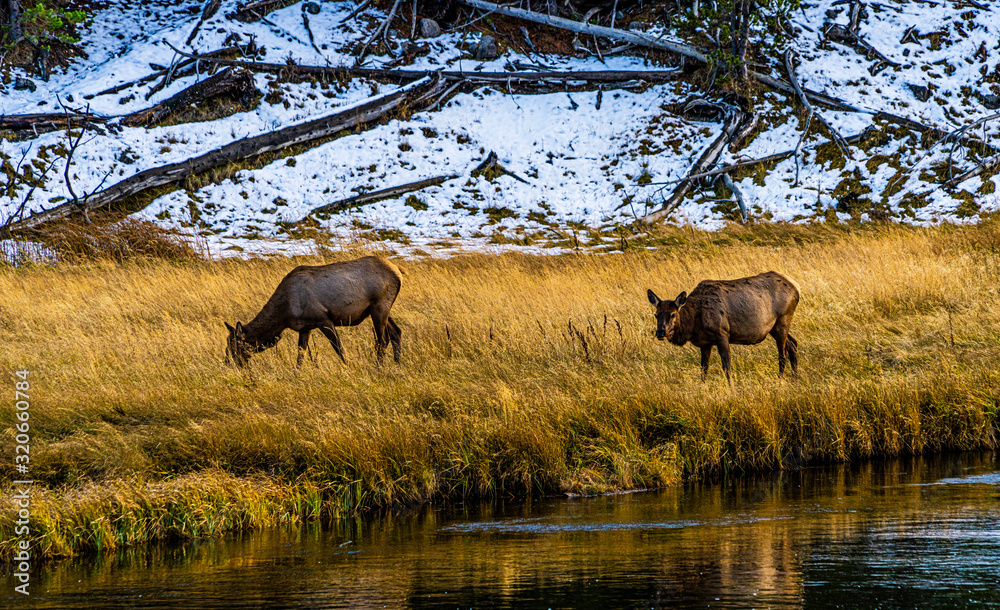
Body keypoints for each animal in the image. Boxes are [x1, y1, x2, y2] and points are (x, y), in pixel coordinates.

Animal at [225, 256, 403, 368]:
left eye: (235, 347)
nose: (228, 363)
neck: (284, 314)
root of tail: (398, 272)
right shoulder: (305, 327)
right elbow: (300, 356)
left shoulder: (323, 319)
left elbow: (339, 349)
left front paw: (349, 368)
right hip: (381, 310)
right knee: (396, 332)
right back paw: (397, 364)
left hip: (379, 307)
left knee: (383, 339)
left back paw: (378, 367)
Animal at [647, 271, 800, 383]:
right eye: (656, 314)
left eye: (673, 314)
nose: (660, 333)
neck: (693, 324)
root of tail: (796, 287)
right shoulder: (705, 342)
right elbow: (704, 368)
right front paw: (703, 386)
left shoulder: (722, 334)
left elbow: (726, 367)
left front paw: (731, 388)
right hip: (774, 327)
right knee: (793, 344)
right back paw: (795, 379)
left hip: (783, 319)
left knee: (782, 353)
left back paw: (781, 380)